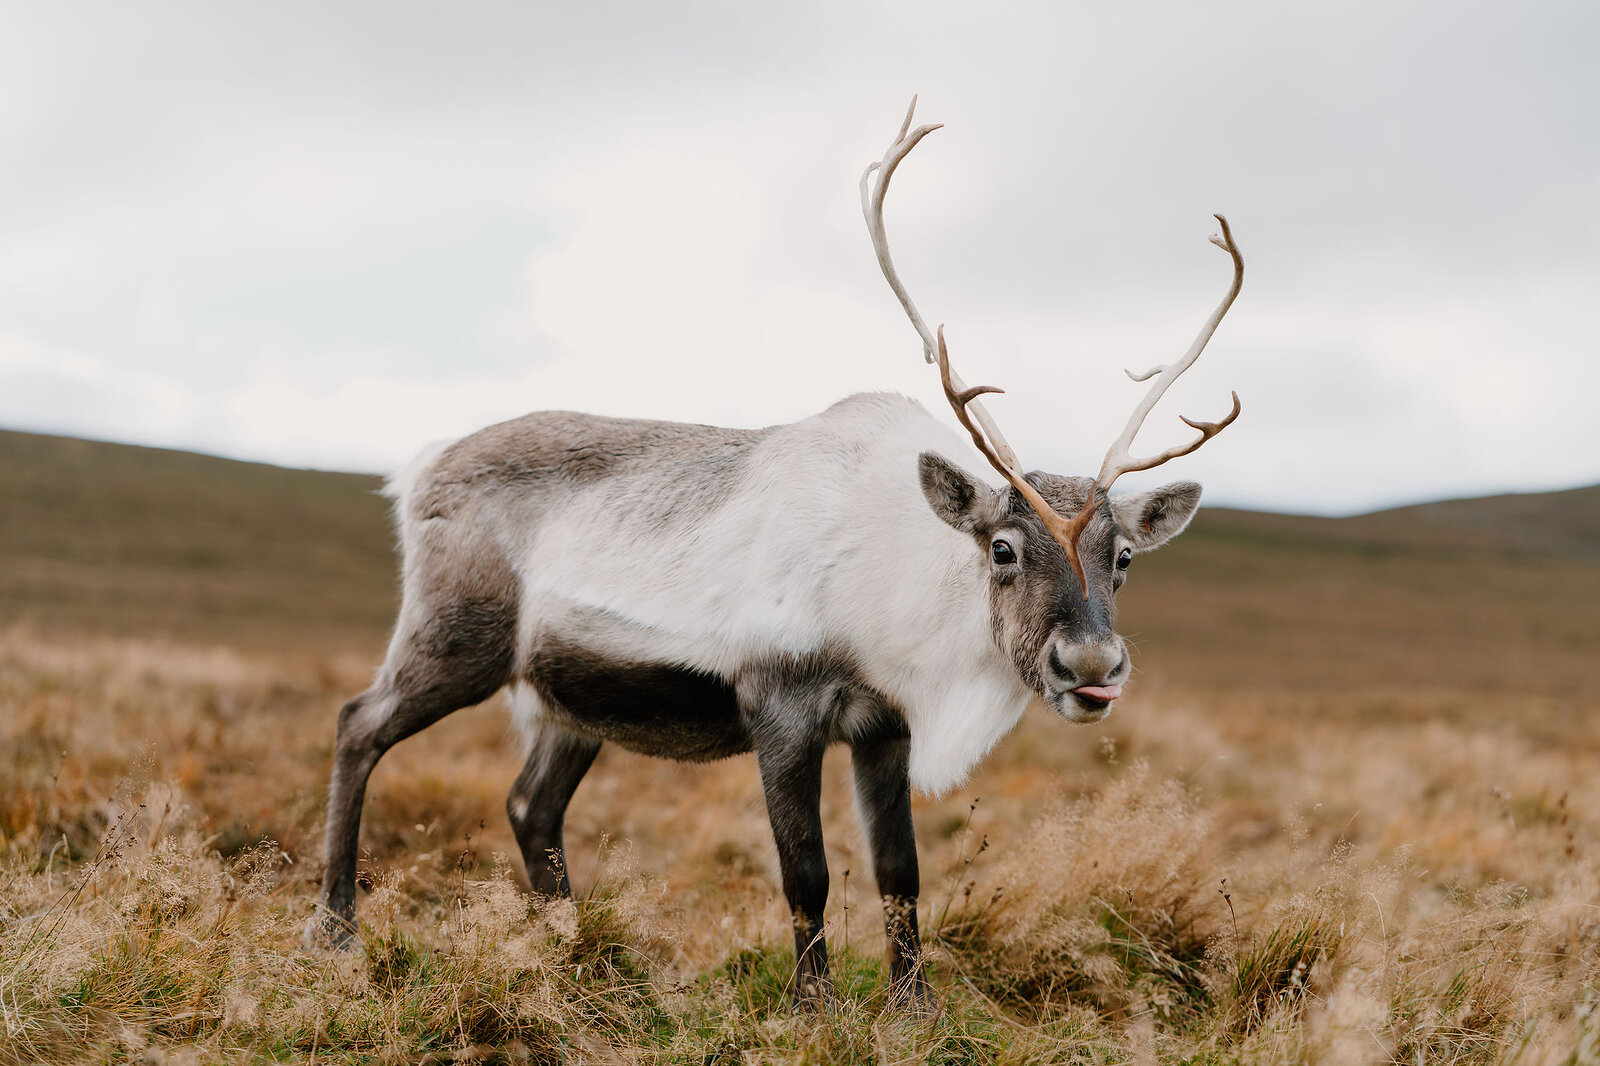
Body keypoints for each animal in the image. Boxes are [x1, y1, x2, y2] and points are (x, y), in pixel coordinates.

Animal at [306, 99, 1244, 1012]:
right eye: (1004, 547)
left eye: (1125, 555)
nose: (1091, 665)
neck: (902, 596)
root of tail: (418, 467)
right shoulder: (780, 705)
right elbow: (808, 872)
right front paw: (813, 1007)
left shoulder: (884, 725)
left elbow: (900, 871)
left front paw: (913, 1007)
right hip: (456, 637)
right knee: (359, 724)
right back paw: (337, 929)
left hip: (570, 699)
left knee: (530, 806)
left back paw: (577, 959)